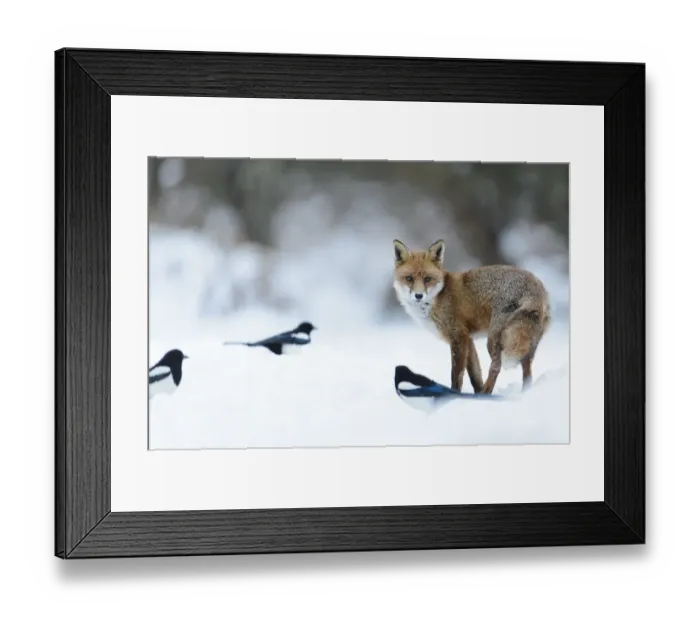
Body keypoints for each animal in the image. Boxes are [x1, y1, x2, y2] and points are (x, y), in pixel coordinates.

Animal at [392, 238, 551, 395]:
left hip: (494, 339)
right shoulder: (468, 339)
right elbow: (475, 374)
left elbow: (457, 374)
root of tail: (536, 286)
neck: (437, 298)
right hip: (527, 342)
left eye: (427, 279)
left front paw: (455, 396)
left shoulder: (458, 336)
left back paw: (487, 393)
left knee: (496, 366)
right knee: (527, 372)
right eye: (409, 278)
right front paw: (476, 395)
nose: (418, 295)